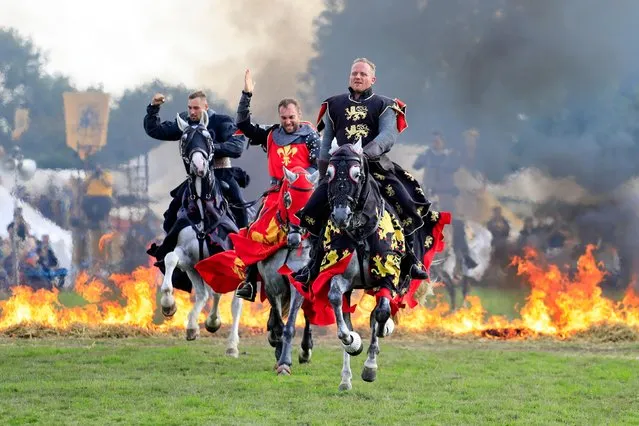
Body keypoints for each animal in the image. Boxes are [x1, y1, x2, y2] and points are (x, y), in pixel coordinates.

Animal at [158, 113, 242, 356]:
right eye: (184, 139)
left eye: (208, 137)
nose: (199, 165)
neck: (204, 212)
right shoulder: (187, 257)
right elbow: (170, 258)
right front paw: (168, 304)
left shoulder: (224, 258)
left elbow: (224, 295)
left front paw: (215, 324)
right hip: (194, 268)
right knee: (206, 294)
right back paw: (194, 326)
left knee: (234, 302)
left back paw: (231, 344)